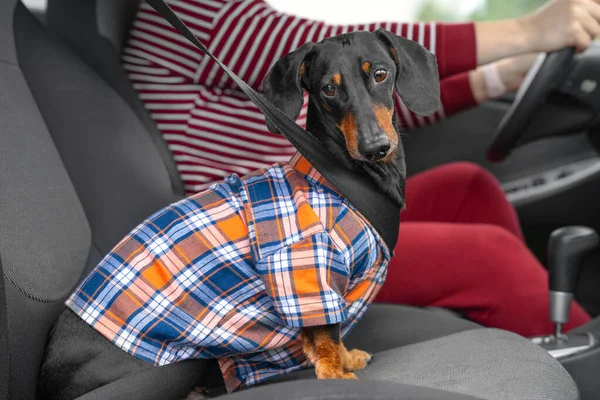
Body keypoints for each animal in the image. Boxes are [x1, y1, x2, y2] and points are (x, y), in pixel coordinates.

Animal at [38, 28, 440, 396]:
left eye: (380, 74)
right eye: (328, 89)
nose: (376, 147)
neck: (340, 175)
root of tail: (47, 375)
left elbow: (333, 332)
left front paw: (347, 358)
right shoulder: (302, 265)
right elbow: (324, 333)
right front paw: (335, 376)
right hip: (173, 364)